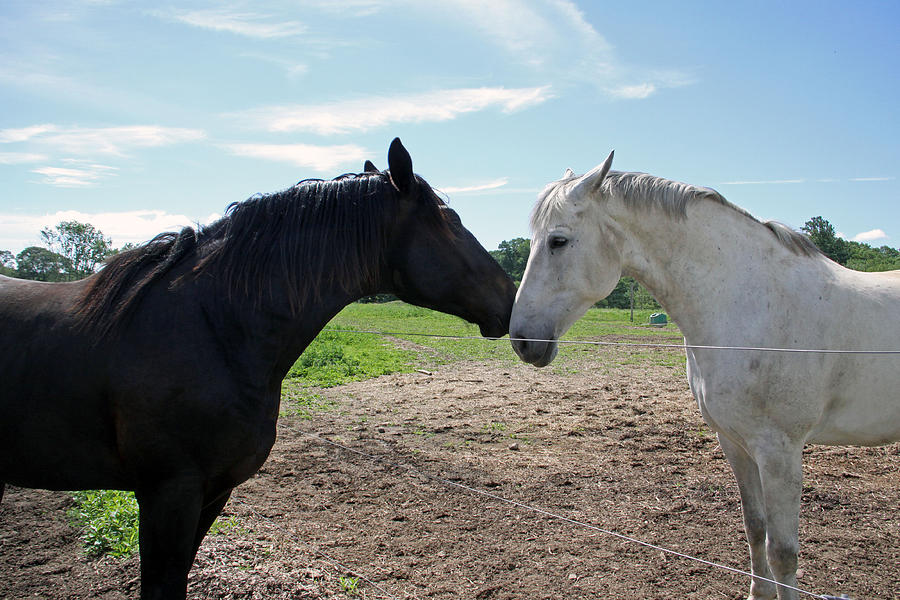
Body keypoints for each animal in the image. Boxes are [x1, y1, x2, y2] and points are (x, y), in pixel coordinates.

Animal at [510, 151, 900, 600]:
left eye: (558, 241)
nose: (522, 340)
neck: (750, 303)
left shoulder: (780, 450)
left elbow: (783, 551)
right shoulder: (735, 442)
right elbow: (755, 528)